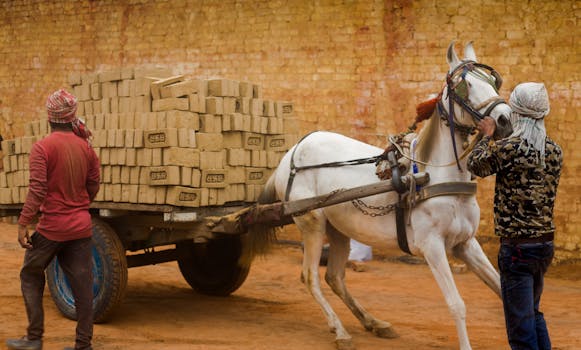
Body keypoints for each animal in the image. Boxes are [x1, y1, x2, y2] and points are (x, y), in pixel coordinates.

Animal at [247, 41, 510, 350]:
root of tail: (290, 155)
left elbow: (502, 289)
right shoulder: (432, 246)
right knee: (310, 277)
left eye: (493, 81)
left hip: (339, 229)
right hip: (311, 223)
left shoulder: (465, 244)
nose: (505, 119)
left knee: (334, 277)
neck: (437, 177)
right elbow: (457, 304)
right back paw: (340, 331)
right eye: (465, 85)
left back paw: (373, 322)